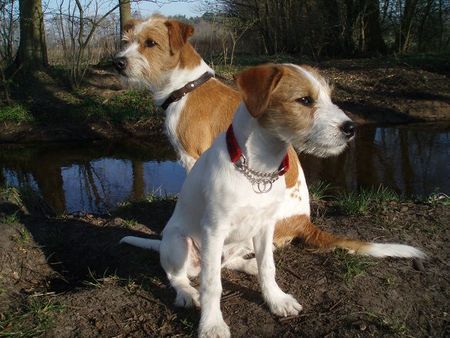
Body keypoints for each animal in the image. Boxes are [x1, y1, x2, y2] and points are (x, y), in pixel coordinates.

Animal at [113, 13, 426, 262]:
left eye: (150, 43)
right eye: (126, 40)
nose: (118, 63)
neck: (186, 87)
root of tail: (304, 222)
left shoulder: (193, 157)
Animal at [118, 64, 414, 338]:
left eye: (330, 97)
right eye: (304, 100)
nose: (351, 128)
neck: (258, 170)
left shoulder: (265, 225)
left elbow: (267, 267)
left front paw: (276, 299)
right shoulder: (214, 231)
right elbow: (212, 284)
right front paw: (212, 324)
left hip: (241, 241)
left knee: (228, 263)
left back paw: (247, 264)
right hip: (178, 242)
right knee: (181, 275)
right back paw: (188, 293)